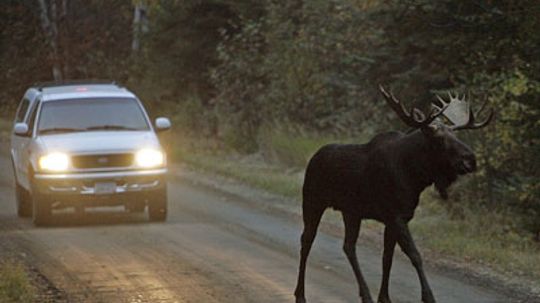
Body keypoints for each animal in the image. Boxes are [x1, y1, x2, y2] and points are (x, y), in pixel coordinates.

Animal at [296, 85, 494, 303]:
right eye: (440, 139)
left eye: (455, 134)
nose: (471, 160)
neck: (415, 176)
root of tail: (313, 158)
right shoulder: (396, 216)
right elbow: (415, 255)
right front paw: (428, 296)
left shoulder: (396, 219)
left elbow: (387, 258)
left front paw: (384, 297)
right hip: (312, 202)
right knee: (306, 240)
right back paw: (300, 294)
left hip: (351, 213)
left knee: (348, 246)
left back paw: (365, 294)